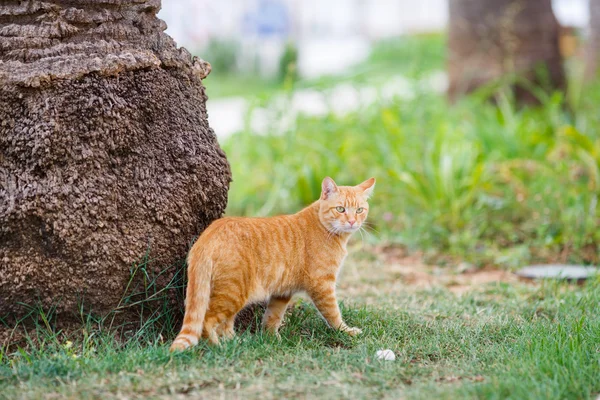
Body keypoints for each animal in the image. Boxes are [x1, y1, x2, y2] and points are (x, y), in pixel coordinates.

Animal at [170, 177, 376, 352]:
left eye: (359, 210)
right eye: (340, 209)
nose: (352, 221)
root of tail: (209, 234)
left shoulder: (282, 292)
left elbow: (272, 317)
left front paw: (271, 339)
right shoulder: (322, 285)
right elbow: (333, 314)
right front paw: (346, 331)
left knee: (225, 324)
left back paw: (235, 342)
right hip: (233, 293)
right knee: (207, 321)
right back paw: (219, 347)